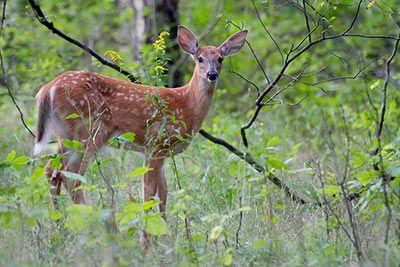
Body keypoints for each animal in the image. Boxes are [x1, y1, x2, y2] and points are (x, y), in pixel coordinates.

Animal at [33, 25, 247, 239]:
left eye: (220, 58)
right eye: (200, 58)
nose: (212, 75)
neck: (187, 105)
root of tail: (47, 89)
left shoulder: (162, 152)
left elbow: (163, 193)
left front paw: (166, 234)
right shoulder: (155, 142)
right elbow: (149, 192)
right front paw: (148, 235)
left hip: (66, 135)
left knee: (52, 171)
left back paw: (60, 226)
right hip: (90, 129)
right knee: (71, 176)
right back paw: (95, 227)